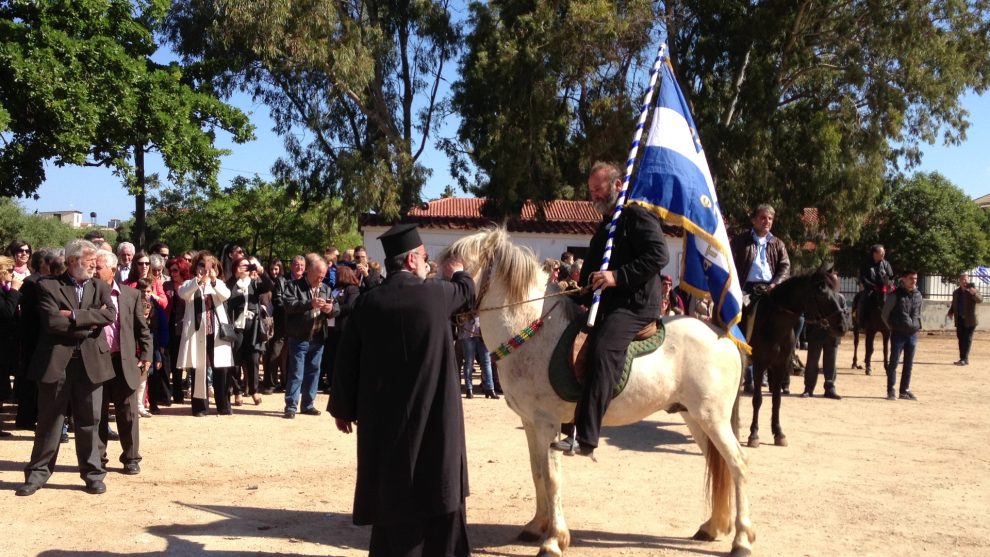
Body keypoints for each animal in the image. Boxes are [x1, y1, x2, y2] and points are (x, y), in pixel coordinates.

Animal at [446, 227, 756, 556]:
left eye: (455, 266)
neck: (532, 329)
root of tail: (722, 334)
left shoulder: (546, 423)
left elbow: (552, 478)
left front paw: (554, 540)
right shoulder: (530, 423)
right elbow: (537, 472)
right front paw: (536, 526)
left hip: (712, 418)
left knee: (738, 464)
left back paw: (742, 539)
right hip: (695, 418)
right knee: (720, 463)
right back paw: (713, 527)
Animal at [752, 270, 852, 448]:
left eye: (836, 292)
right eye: (821, 293)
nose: (843, 326)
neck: (773, 323)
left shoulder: (780, 366)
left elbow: (776, 400)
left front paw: (779, 433)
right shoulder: (759, 364)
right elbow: (758, 399)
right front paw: (754, 435)